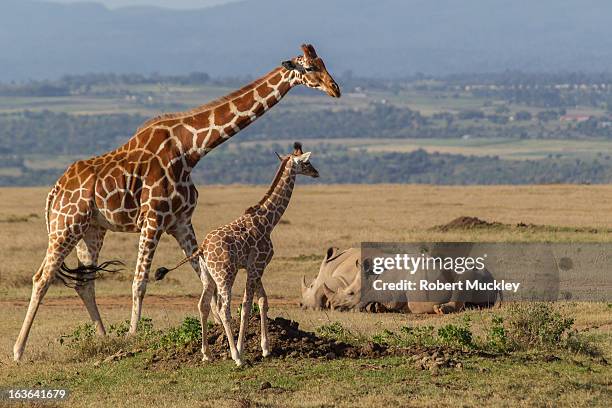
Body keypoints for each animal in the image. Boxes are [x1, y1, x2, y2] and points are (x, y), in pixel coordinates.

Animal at [155, 143, 320, 366]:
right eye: (307, 162)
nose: (316, 172)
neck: (268, 221)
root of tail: (203, 248)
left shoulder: (256, 266)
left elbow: (263, 301)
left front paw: (266, 349)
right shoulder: (256, 265)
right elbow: (246, 305)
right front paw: (243, 349)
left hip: (207, 275)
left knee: (203, 305)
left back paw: (206, 354)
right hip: (225, 274)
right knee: (223, 308)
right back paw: (236, 357)